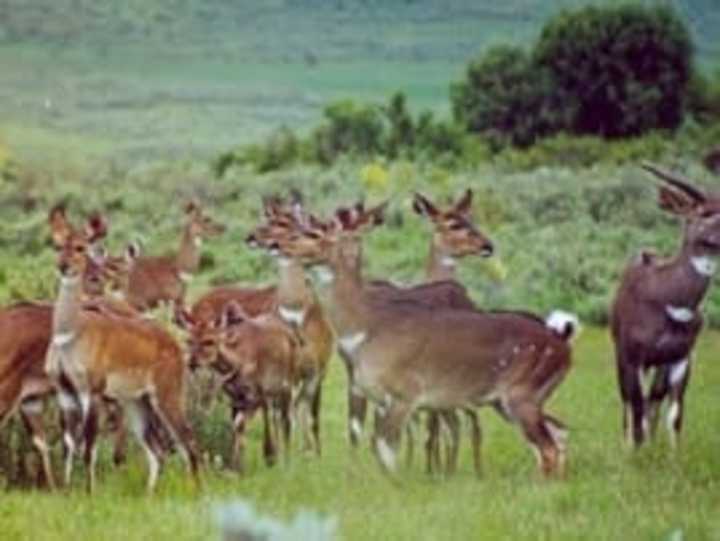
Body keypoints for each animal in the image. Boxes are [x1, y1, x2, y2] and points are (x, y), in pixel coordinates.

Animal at [46, 208, 200, 494]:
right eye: (58, 245)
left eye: (80, 246)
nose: (63, 266)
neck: (70, 336)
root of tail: (176, 345)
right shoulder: (65, 393)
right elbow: (68, 446)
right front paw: (66, 491)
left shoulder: (93, 392)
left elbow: (89, 448)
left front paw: (89, 493)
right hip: (136, 402)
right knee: (157, 450)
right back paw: (149, 495)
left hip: (166, 395)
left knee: (187, 439)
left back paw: (197, 491)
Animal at [179, 302, 298, 470]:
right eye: (188, 340)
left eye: (209, 341)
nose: (192, 361)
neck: (237, 362)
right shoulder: (235, 397)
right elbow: (235, 426)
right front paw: (235, 466)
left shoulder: (254, 394)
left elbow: (239, 425)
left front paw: (238, 466)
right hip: (271, 392)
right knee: (272, 414)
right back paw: (273, 455)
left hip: (287, 383)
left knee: (285, 419)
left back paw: (284, 460)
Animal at [270, 204, 580, 476]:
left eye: (314, 233)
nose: (277, 245)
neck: (366, 328)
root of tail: (563, 345)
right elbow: (374, 442)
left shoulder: (405, 393)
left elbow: (387, 452)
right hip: (512, 400)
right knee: (559, 432)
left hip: (521, 394)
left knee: (547, 446)